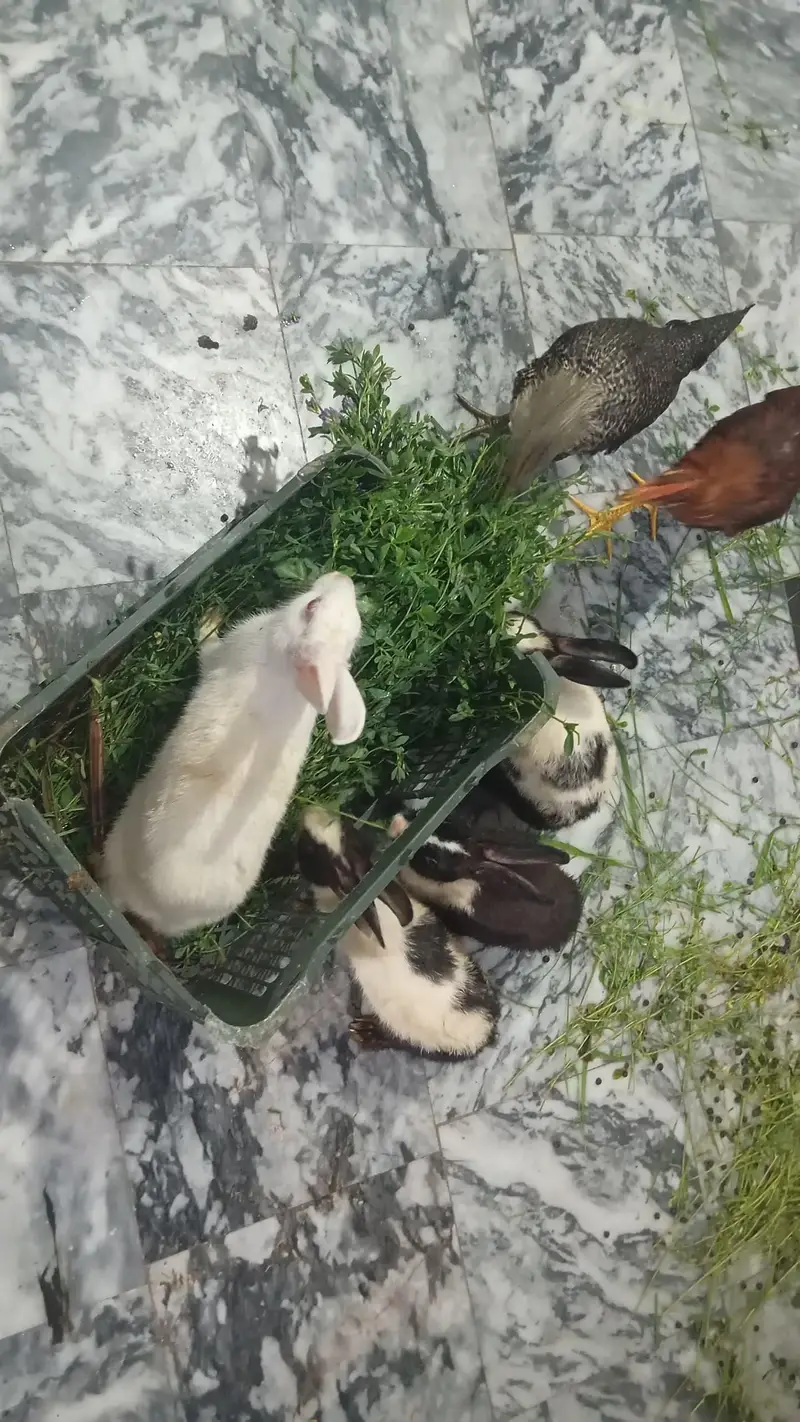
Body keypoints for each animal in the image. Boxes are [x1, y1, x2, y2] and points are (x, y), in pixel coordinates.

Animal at [101, 573, 365, 938]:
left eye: (310, 607)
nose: (343, 577)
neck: (285, 663)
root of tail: (139, 903)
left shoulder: (222, 653)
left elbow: (206, 649)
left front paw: (209, 620)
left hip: (116, 842)